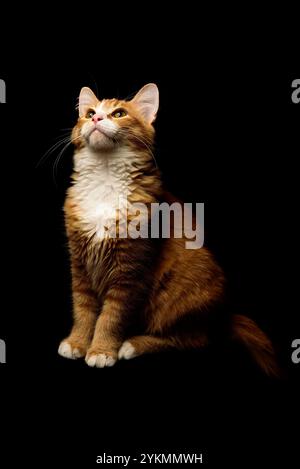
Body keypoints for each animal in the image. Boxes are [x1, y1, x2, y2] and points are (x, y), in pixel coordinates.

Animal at [58, 84, 278, 374]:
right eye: (90, 113)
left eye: (119, 113)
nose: (96, 119)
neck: (105, 183)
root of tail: (221, 316)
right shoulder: (79, 263)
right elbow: (83, 310)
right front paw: (77, 343)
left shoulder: (131, 270)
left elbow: (111, 317)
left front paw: (102, 350)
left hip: (176, 294)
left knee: (192, 339)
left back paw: (133, 345)